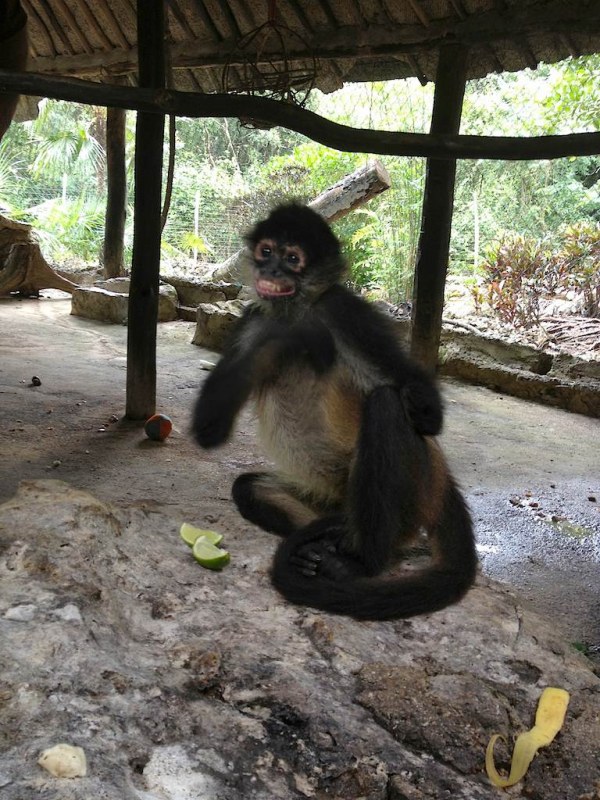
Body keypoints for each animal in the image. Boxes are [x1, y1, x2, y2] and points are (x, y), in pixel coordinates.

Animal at [192, 203, 477, 620]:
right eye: (266, 251)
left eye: (293, 259)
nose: (270, 272)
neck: (296, 309)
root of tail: (442, 479)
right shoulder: (252, 318)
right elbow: (209, 428)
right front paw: (290, 337)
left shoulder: (344, 310)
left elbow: (429, 414)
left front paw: (300, 336)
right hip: (325, 496)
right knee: (249, 488)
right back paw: (317, 550)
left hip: (410, 498)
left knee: (386, 405)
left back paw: (361, 561)